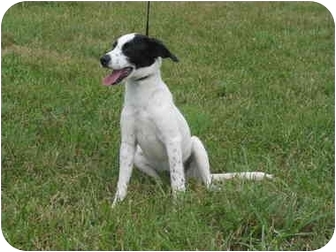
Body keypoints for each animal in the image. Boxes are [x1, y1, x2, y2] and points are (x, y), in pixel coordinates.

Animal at [100, 34, 272, 207]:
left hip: (197, 145)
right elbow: (122, 180)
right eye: (113, 46)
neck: (143, 97)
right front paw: (117, 204)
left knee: (204, 182)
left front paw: (178, 205)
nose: (103, 59)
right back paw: (159, 184)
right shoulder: (127, 144)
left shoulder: (172, 140)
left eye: (128, 49)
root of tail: (193, 175)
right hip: (138, 157)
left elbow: (177, 179)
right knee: (160, 178)